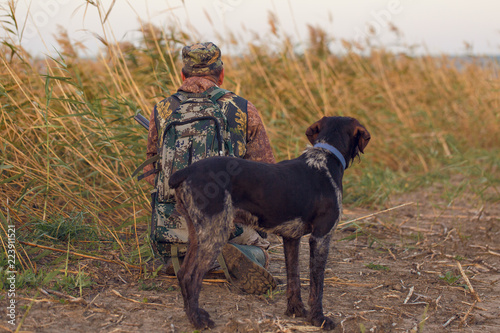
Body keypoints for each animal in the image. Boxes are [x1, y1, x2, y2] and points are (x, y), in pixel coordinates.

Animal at [170, 115, 370, 328]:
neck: (326, 157)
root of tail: (186, 171)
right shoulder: (321, 237)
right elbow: (317, 285)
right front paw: (319, 319)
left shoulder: (291, 238)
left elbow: (294, 277)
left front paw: (295, 310)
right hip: (215, 233)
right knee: (191, 277)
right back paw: (198, 321)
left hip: (198, 234)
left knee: (182, 273)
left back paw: (193, 314)